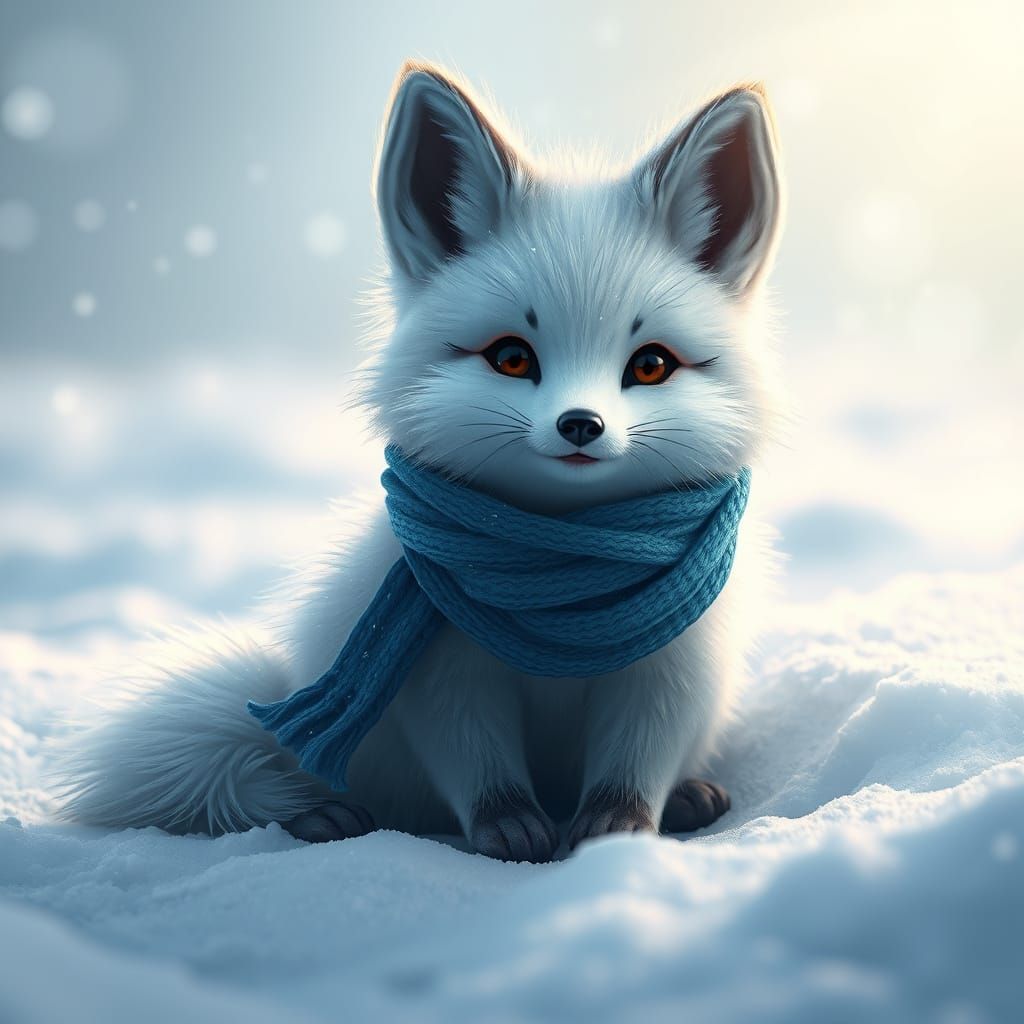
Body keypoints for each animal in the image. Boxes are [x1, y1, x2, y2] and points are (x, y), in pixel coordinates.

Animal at [56, 61, 784, 863]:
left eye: (651, 364)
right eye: (511, 357)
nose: (581, 425)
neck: (563, 588)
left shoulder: (667, 671)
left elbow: (632, 771)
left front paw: (617, 834)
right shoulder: (444, 680)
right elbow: (479, 768)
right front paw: (510, 830)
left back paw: (691, 797)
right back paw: (326, 816)